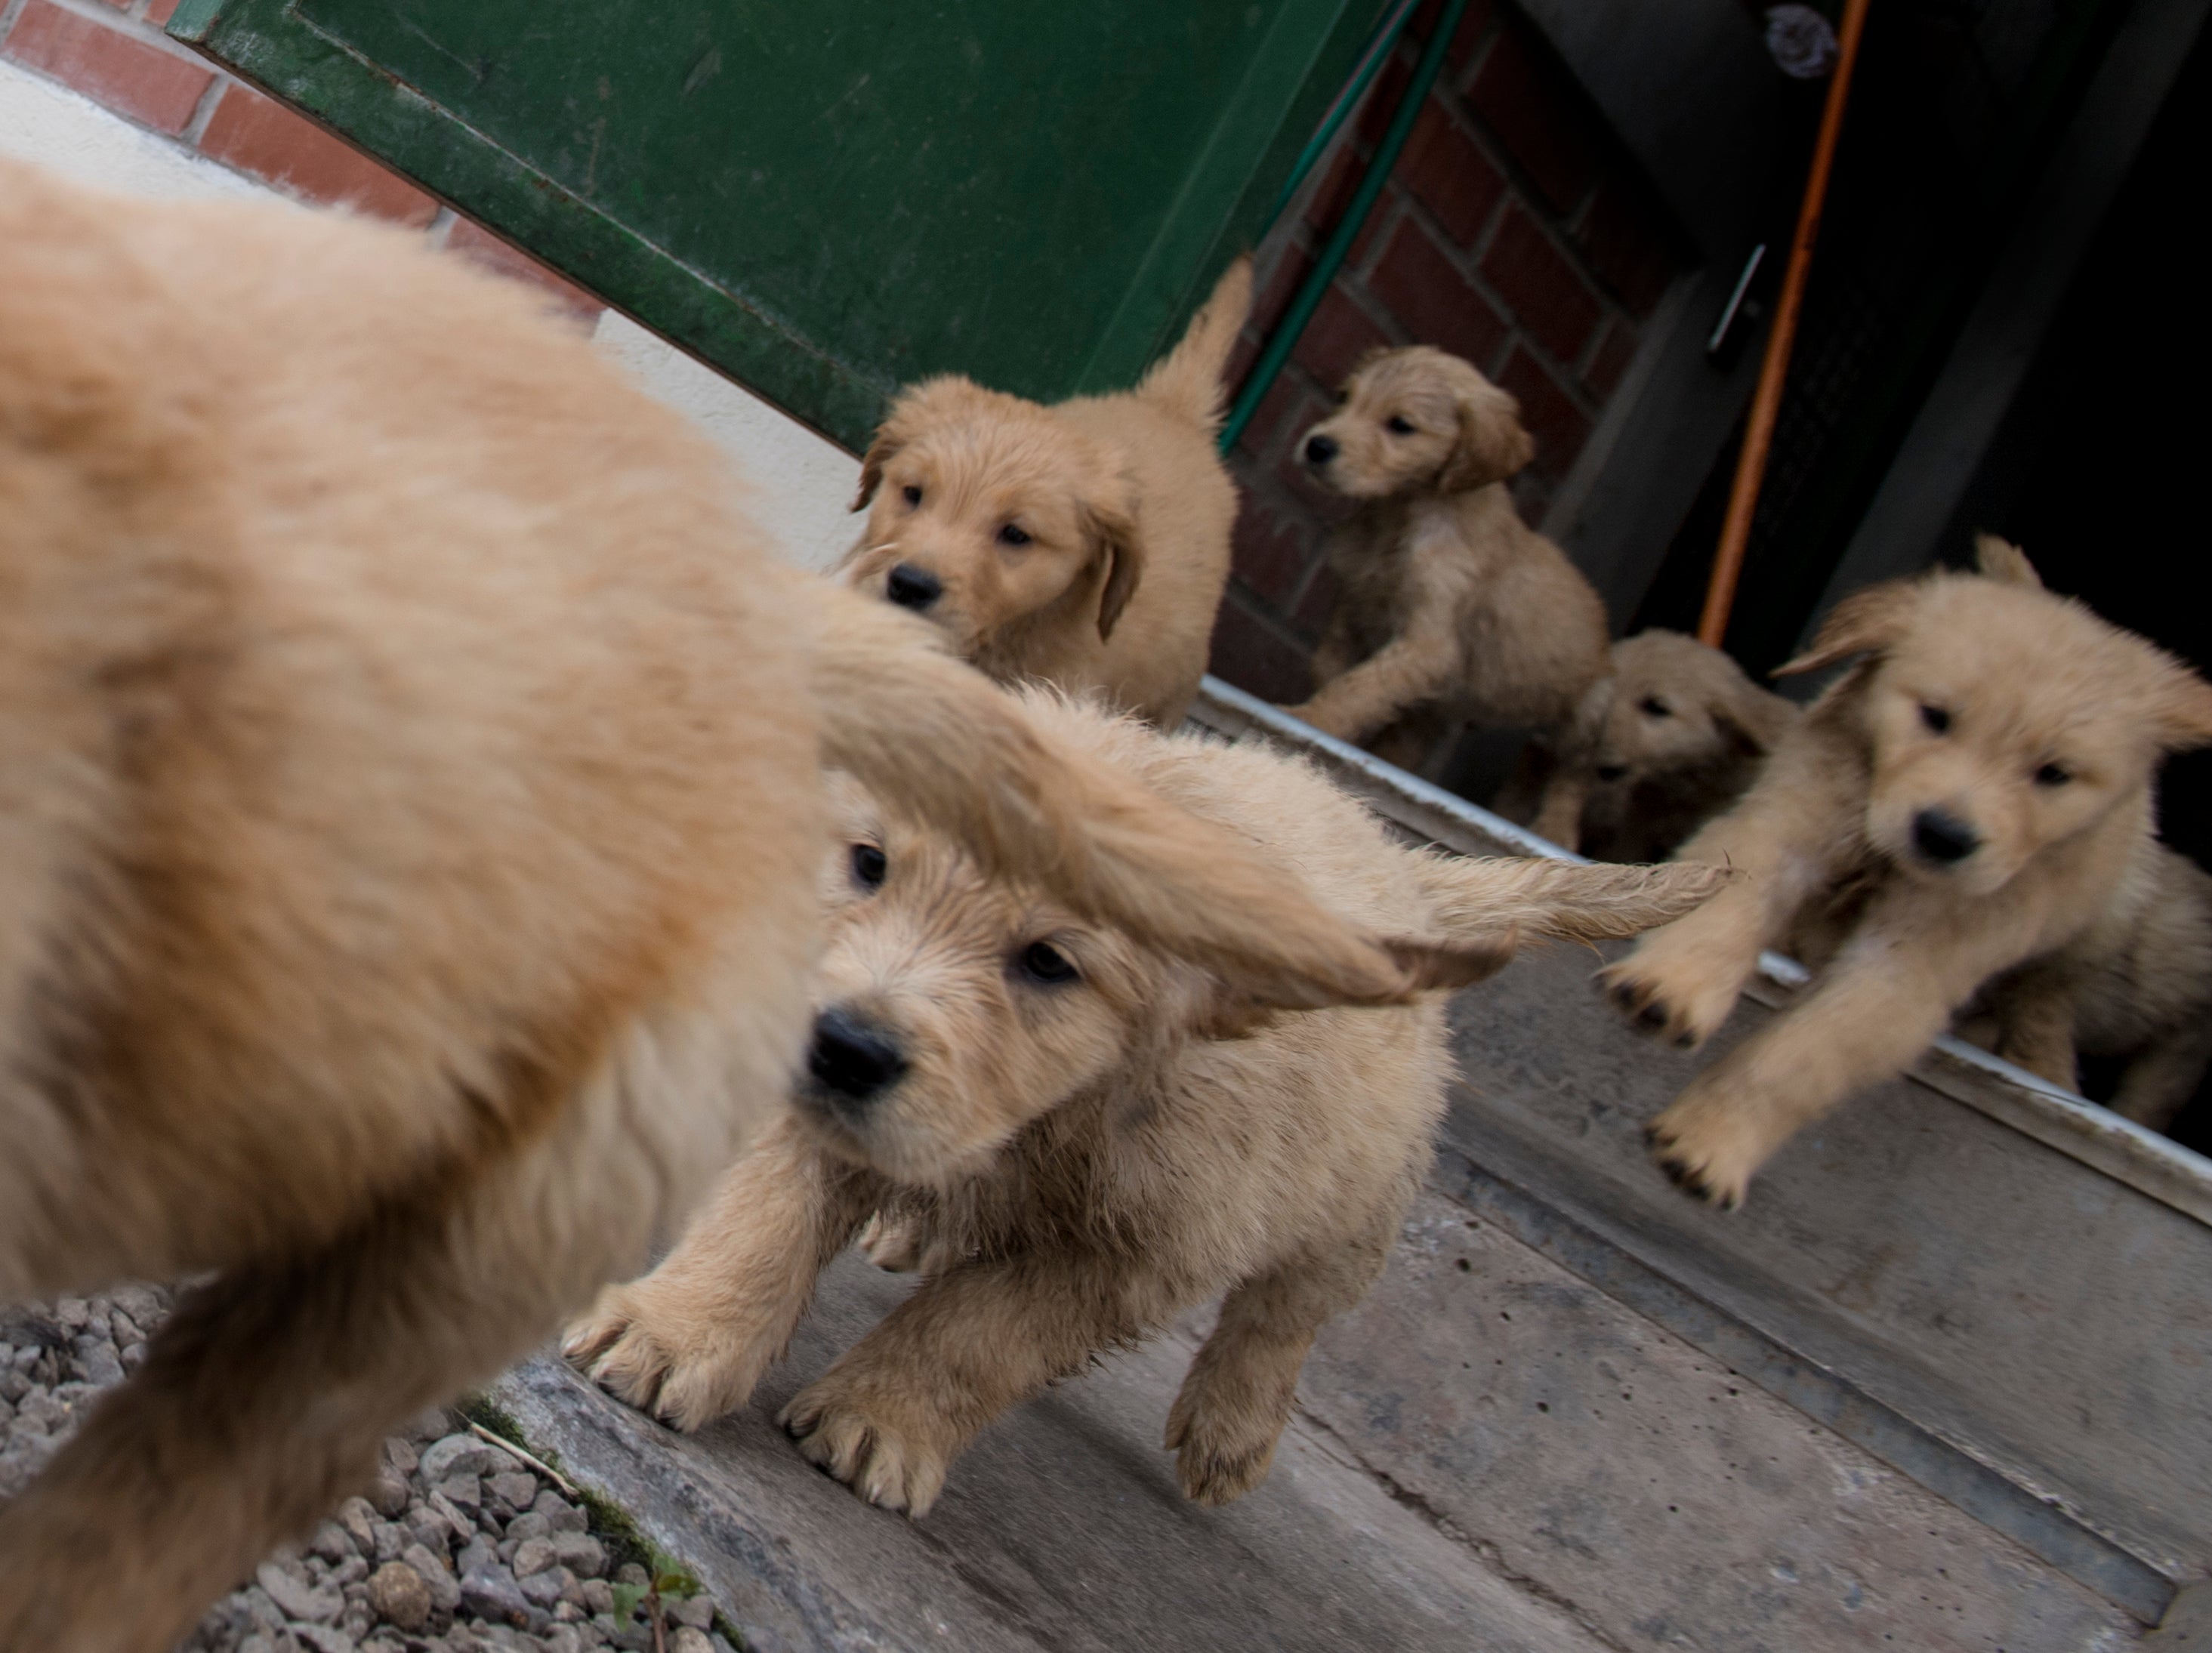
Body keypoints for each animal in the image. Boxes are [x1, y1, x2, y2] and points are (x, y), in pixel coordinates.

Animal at [566, 690, 1708, 1522]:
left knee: (1286, 1312)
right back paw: (908, 1227)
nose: (842, 1047)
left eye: (1049, 962)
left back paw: (1230, 1427)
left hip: (1358, 1193)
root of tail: (1402, 870)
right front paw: (676, 1331)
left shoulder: (1142, 1247)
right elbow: (764, 1219)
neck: (1055, 1114)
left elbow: (980, 1331)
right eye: (870, 862)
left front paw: (880, 1418)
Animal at [1601, 538, 2212, 1212]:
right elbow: (1731, 902)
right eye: (1935, 717)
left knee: (2046, 1002)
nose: (1943, 834)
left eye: (2053, 773)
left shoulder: (1914, 961)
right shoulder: (1794, 815)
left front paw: (1711, 1139)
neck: (1887, 862)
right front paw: (1672, 986)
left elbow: (1798, 1057)